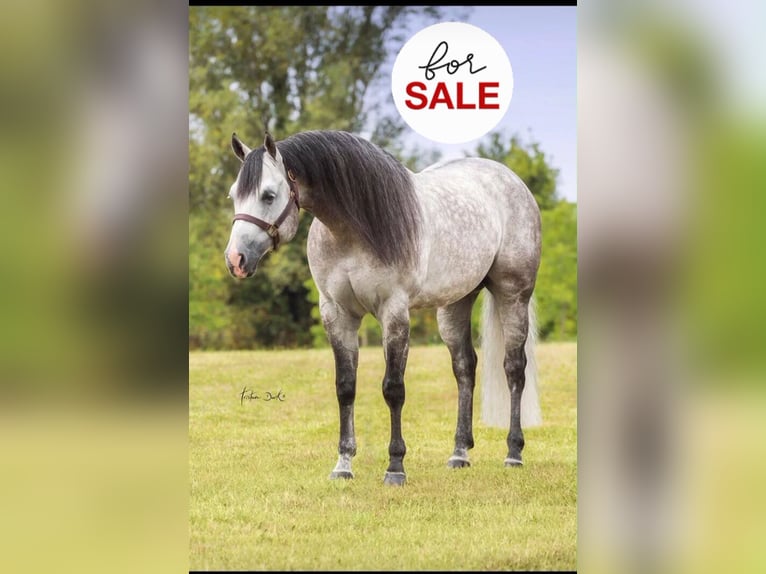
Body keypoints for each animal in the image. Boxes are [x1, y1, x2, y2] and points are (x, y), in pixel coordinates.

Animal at [224, 130, 542, 485]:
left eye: (268, 195)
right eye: (234, 195)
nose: (235, 260)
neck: (352, 230)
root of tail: (510, 179)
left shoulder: (394, 313)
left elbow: (393, 388)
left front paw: (395, 467)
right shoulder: (337, 314)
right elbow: (345, 387)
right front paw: (343, 464)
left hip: (513, 294)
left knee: (514, 368)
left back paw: (513, 453)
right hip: (455, 303)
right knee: (464, 368)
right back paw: (459, 453)